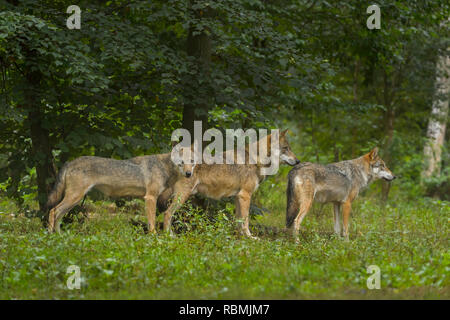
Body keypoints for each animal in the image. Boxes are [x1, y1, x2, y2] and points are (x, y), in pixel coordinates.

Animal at [46, 147, 194, 232]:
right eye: (181, 162)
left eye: (192, 161)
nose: (189, 174)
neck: (164, 166)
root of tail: (70, 162)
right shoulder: (150, 198)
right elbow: (152, 224)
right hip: (74, 198)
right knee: (53, 211)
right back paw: (51, 237)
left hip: (75, 201)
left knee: (58, 216)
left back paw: (61, 237)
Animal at [160, 129, 300, 238]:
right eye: (286, 148)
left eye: (289, 148)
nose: (298, 161)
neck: (257, 159)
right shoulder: (245, 195)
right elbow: (246, 220)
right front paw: (250, 237)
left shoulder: (238, 197)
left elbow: (239, 221)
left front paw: (241, 237)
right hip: (181, 196)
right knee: (167, 213)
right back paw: (169, 236)